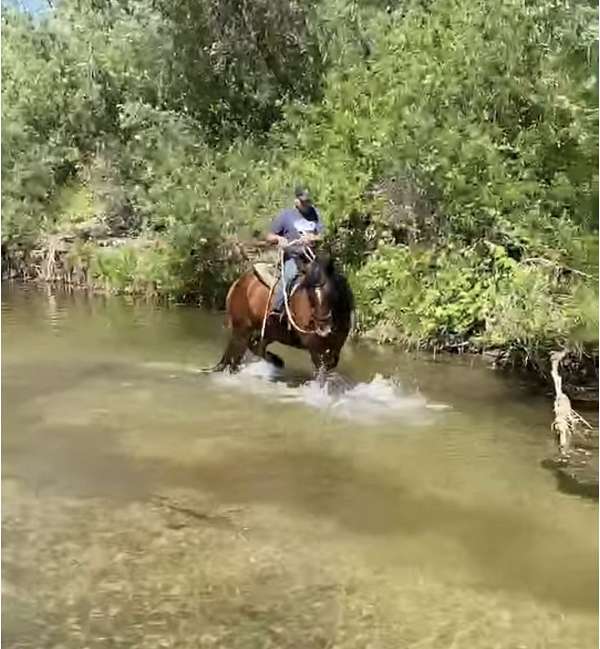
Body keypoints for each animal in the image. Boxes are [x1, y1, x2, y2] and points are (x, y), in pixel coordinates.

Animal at [214, 249, 354, 380]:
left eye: (331, 291)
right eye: (309, 294)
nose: (323, 328)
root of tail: (238, 282)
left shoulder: (336, 345)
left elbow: (329, 365)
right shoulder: (313, 345)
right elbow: (321, 370)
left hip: (267, 332)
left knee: (254, 347)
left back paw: (275, 361)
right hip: (242, 329)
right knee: (235, 355)